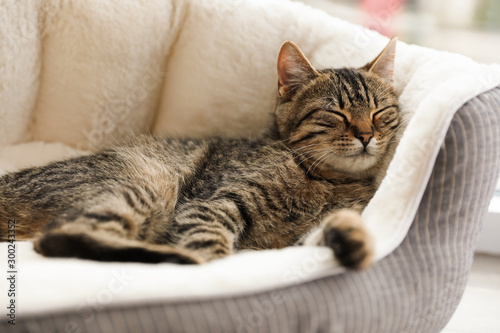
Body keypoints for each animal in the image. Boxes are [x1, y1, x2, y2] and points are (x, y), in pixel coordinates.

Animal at [0, 37, 398, 268]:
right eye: (335, 114)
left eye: (380, 112)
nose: (366, 135)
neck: (330, 180)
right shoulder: (213, 201)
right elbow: (211, 241)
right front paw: (209, 261)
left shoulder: (295, 239)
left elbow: (323, 232)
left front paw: (351, 238)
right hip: (149, 181)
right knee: (59, 237)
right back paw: (177, 258)